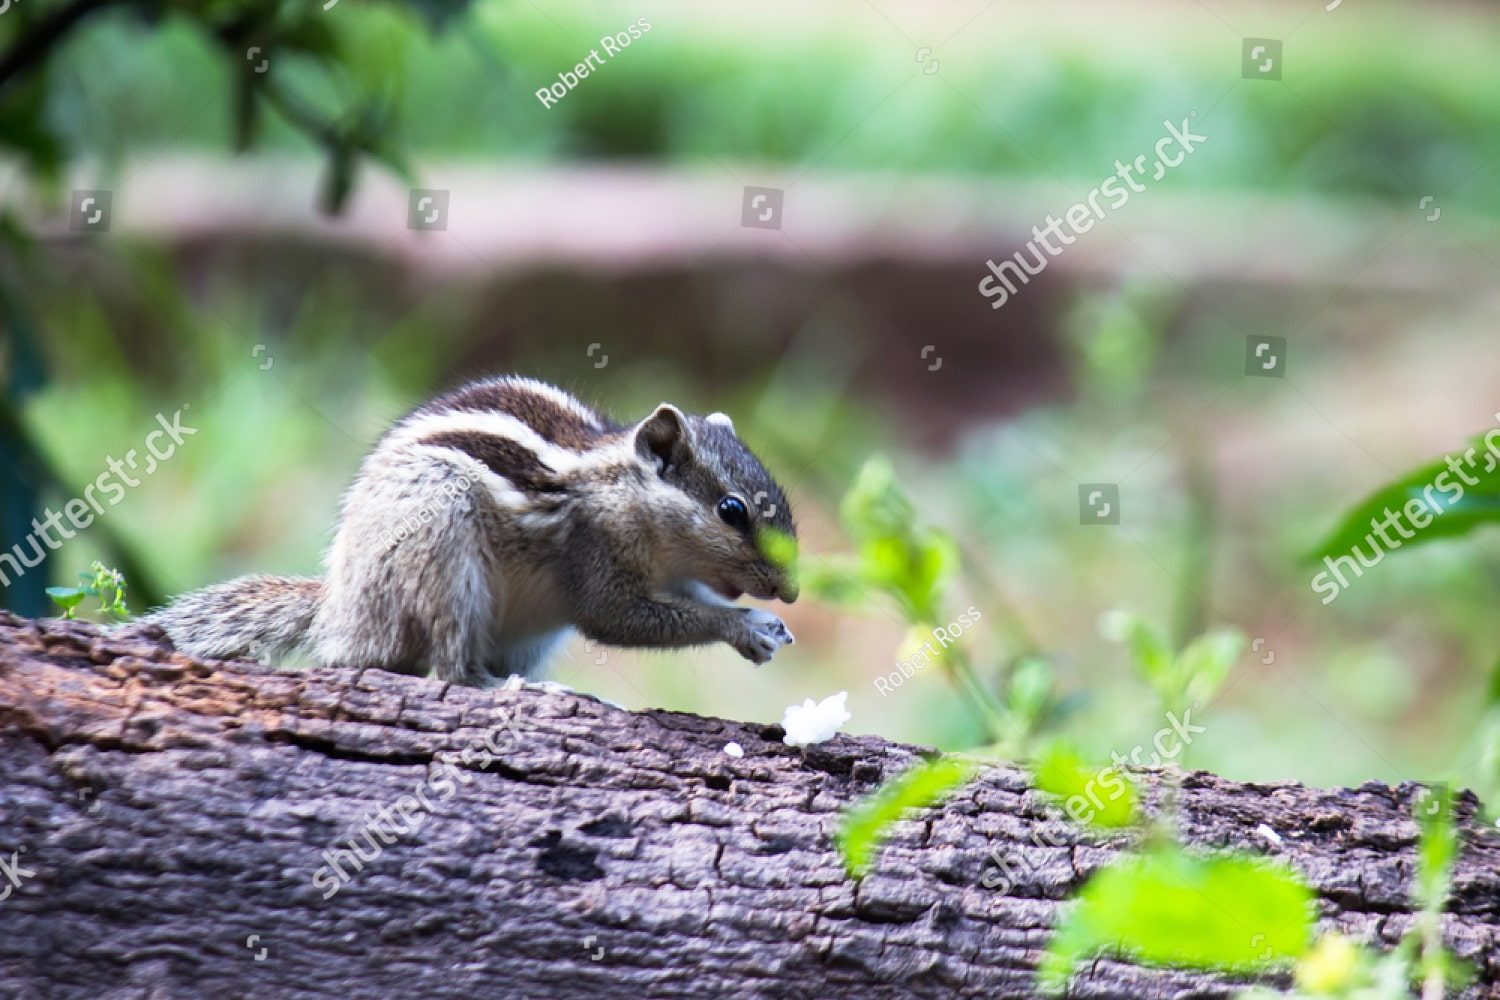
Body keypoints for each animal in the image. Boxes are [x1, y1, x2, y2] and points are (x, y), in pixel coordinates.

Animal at [138, 376, 798, 687]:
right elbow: (616, 618)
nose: (790, 591)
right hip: (442, 531)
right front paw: (742, 625)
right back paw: (516, 689)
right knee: (451, 667)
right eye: (732, 510)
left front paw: (762, 625)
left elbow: (689, 597)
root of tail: (339, 611)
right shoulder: (597, 557)